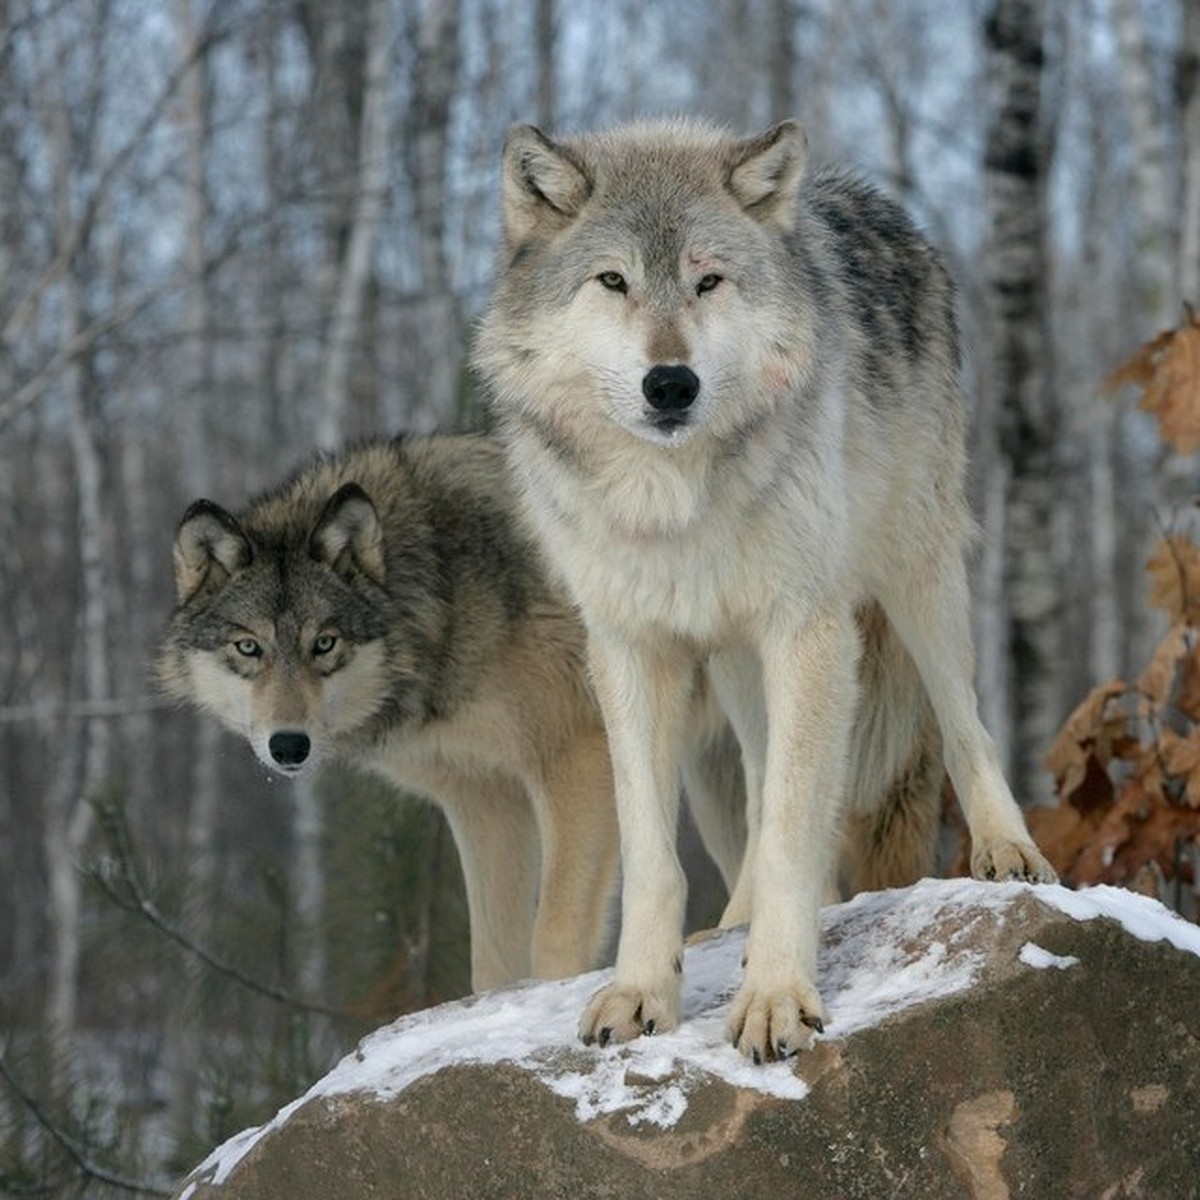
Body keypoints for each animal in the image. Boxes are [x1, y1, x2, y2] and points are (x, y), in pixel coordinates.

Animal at [475, 117, 1057, 1062]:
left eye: (709, 280)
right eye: (613, 281)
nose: (671, 384)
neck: (670, 497)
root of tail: (867, 196)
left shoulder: (808, 631)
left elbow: (791, 827)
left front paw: (778, 997)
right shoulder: (629, 650)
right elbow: (656, 852)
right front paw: (642, 991)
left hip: (916, 574)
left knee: (963, 722)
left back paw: (1007, 850)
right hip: (736, 659)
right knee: (754, 779)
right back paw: (735, 923)